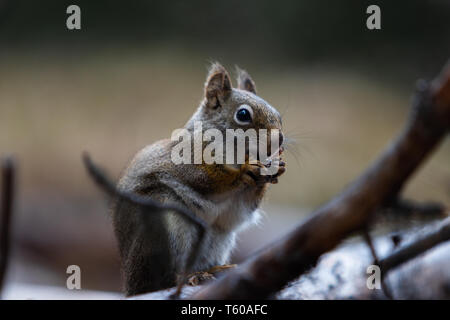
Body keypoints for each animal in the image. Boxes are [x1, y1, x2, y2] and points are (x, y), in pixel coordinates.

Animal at [112, 62, 284, 296]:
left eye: (279, 116)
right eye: (243, 114)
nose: (279, 140)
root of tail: (132, 284)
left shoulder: (236, 209)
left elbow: (240, 209)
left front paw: (275, 169)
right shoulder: (185, 161)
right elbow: (206, 178)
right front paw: (244, 171)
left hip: (219, 238)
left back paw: (215, 270)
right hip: (164, 221)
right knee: (164, 279)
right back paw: (189, 276)